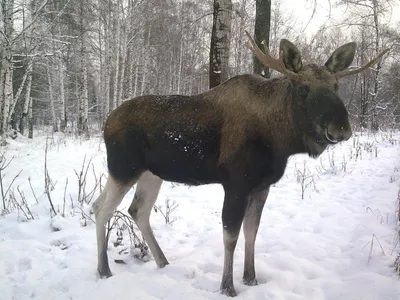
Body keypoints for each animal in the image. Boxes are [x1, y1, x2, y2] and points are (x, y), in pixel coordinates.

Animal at [92, 31, 390, 296]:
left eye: (336, 86)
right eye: (303, 88)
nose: (340, 128)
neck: (280, 140)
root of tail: (106, 122)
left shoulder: (262, 185)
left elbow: (252, 231)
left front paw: (251, 278)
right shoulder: (236, 183)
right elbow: (231, 235)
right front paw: (227, 286)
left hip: (151, 173)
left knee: (137, 210)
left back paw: (163, 262)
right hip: (122, 168)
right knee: (100, 207)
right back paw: (104, 270)